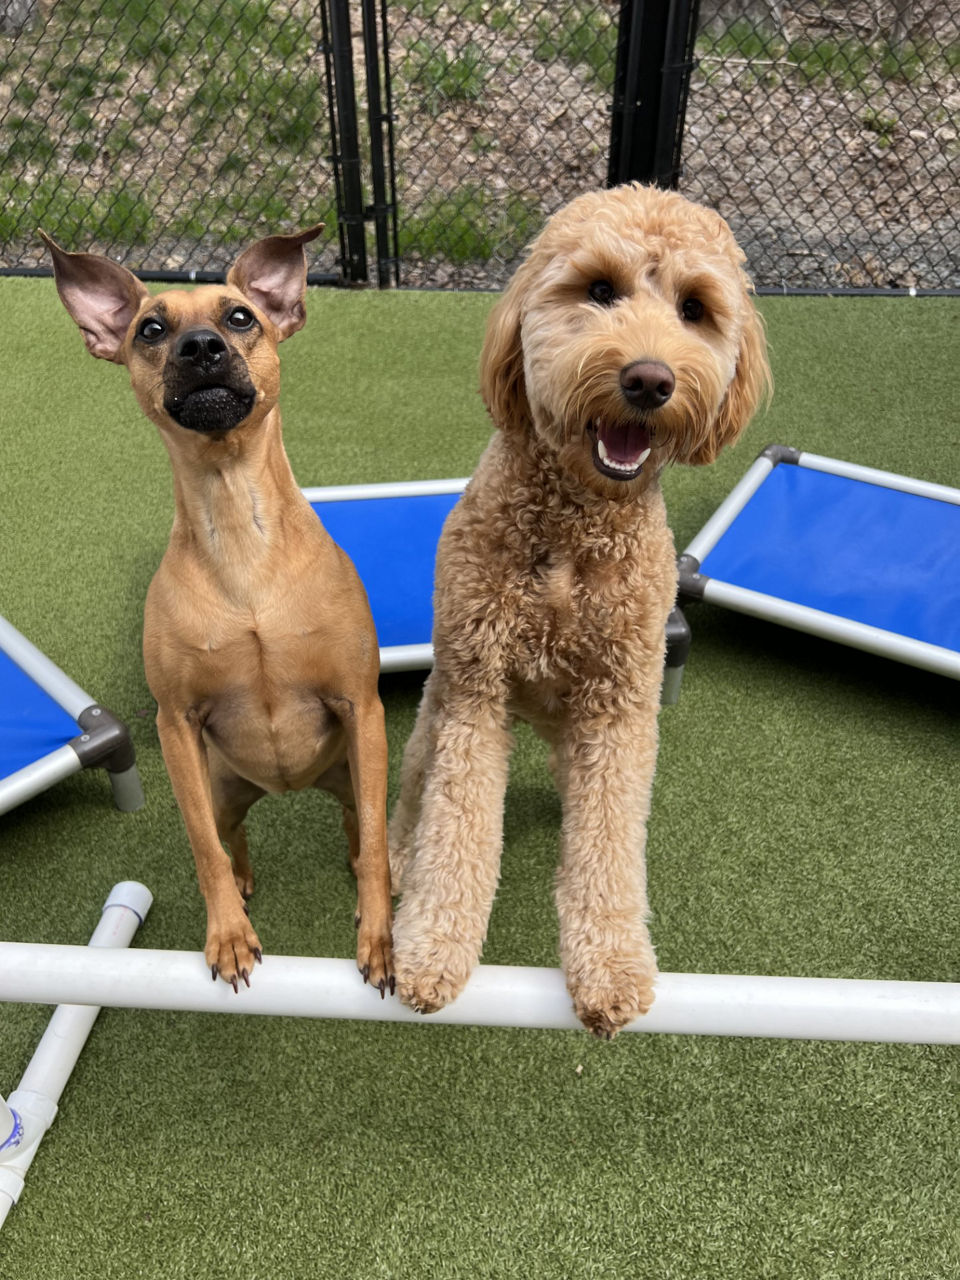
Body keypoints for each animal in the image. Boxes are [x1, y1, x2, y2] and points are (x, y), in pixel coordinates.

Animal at [41, 225, 394, 993]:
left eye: (240, 317)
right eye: (150, 328)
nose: (200, 347)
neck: (239, 533)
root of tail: (291, 786)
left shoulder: (360, 705)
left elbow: (380, 840)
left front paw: (381, 936)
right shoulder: (176, 724)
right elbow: (204, 849)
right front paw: (228, 933)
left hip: (353, 769)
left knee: (362, 829)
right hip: (226, 786)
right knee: (232, 837)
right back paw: (246, 880)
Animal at [386, 183, 773, 1039]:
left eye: (695, 309)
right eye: (599, 289)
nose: (650, 379)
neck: (572, 529)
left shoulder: (622, 709)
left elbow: (608, 847)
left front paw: (613, 968)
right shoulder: (475, 694)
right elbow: (456, 829)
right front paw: (432, 949)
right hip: (435, 712)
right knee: (415, 796)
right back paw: (397, 855)